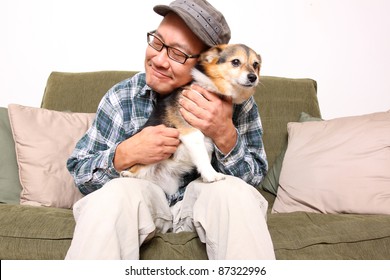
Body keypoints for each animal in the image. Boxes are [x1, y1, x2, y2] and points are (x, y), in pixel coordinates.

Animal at [121, 44, 262, 195]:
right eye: (236, 62)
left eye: (255, 64)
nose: (253, 77)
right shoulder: (191, 132)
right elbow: (202, 156)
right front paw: (211, 175)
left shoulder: (208, 139)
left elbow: (206, 155)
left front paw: (205, 176)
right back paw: (128, 174)